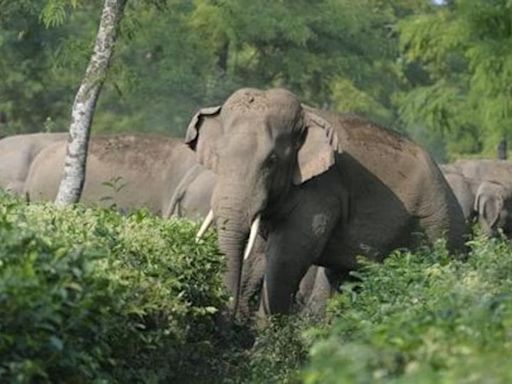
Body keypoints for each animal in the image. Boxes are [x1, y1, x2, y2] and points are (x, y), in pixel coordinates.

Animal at [187, 87, 468, 316]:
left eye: (272, 161)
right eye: (218, 156)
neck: (307, 115)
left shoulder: (322, 190)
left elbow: (286, 258)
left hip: (437, 228)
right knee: (343, 280)